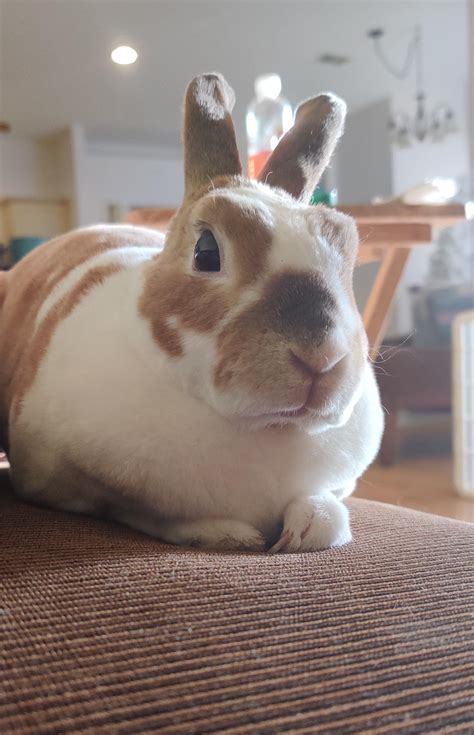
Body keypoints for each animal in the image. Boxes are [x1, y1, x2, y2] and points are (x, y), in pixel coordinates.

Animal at [0, 73, 384, 552]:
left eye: (348, 248)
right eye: (206, 252)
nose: (322, 357)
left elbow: (328, 507)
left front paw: (307, 529)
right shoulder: (52, 476)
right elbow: (135, 507)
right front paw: (228, 534)